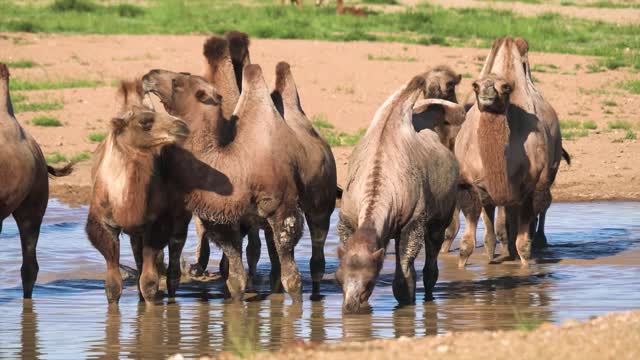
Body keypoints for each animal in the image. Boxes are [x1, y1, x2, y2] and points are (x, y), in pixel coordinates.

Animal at [86, 79, 194, 304]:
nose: (182, 126)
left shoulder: (157, 222)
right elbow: (113, 285)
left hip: (180, 217)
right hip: (137, 232)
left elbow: (149, 282)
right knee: (138, 258)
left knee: (173, 267)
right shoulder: (104, 223)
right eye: (145, 122)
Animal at [143, 63, 308, 302]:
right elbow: (235, 281)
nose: (149, 75)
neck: (236, 167)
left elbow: (293, 280)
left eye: (177, 82)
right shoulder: (223, 219)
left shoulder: (283, 209)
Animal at [338, 76, 458, 312]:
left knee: (432, 259)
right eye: (338, 278)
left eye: (370, 281)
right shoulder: (347, 219)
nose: (351, 305)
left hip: (441, 218)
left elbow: (404, 275)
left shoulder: (413, 222)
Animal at [456, 37, 560, 268]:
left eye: (504, 87)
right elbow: (467, 243)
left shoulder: (531, 186)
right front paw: (461, 268)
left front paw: (525, 267)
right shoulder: (471, 184)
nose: (487, 91)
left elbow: (525, 245)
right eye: (475, 85)